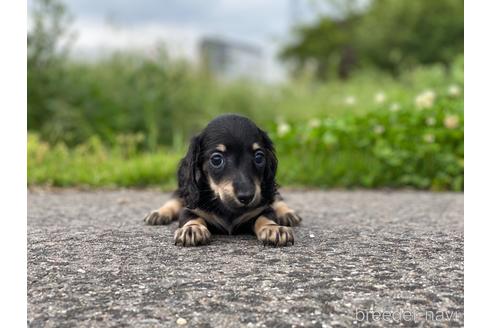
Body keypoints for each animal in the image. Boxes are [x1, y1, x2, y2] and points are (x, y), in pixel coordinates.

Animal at [144, 114, 302, 245]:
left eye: (259, 157)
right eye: (216, 159)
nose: (246, 197)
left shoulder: (262, 208)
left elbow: (266, 217)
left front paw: (273, 229)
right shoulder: (190, 209)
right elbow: (191, 217)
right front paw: (192, 229)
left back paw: (287, 213)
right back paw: (159, 213)